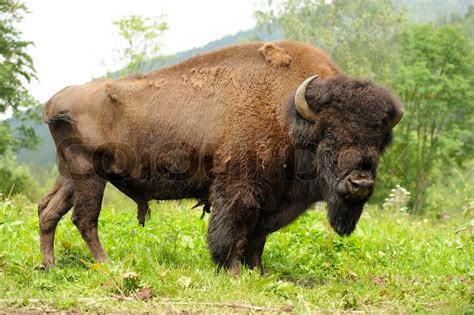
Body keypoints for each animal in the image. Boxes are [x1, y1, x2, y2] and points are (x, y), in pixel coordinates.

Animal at [39, 41, 404, 274]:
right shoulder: (238, 189)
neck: (289, 114)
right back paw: (106, 264)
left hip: (70, 175)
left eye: (379, 142)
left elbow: (258, 238)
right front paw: (231, 271)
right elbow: (233, 232)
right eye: (329, 136)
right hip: (90, 175)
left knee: (49, 210)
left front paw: (259, 272)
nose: (360, 182)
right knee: (85, 219)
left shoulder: (272, 200)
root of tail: (54, 102)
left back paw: (49, 265)